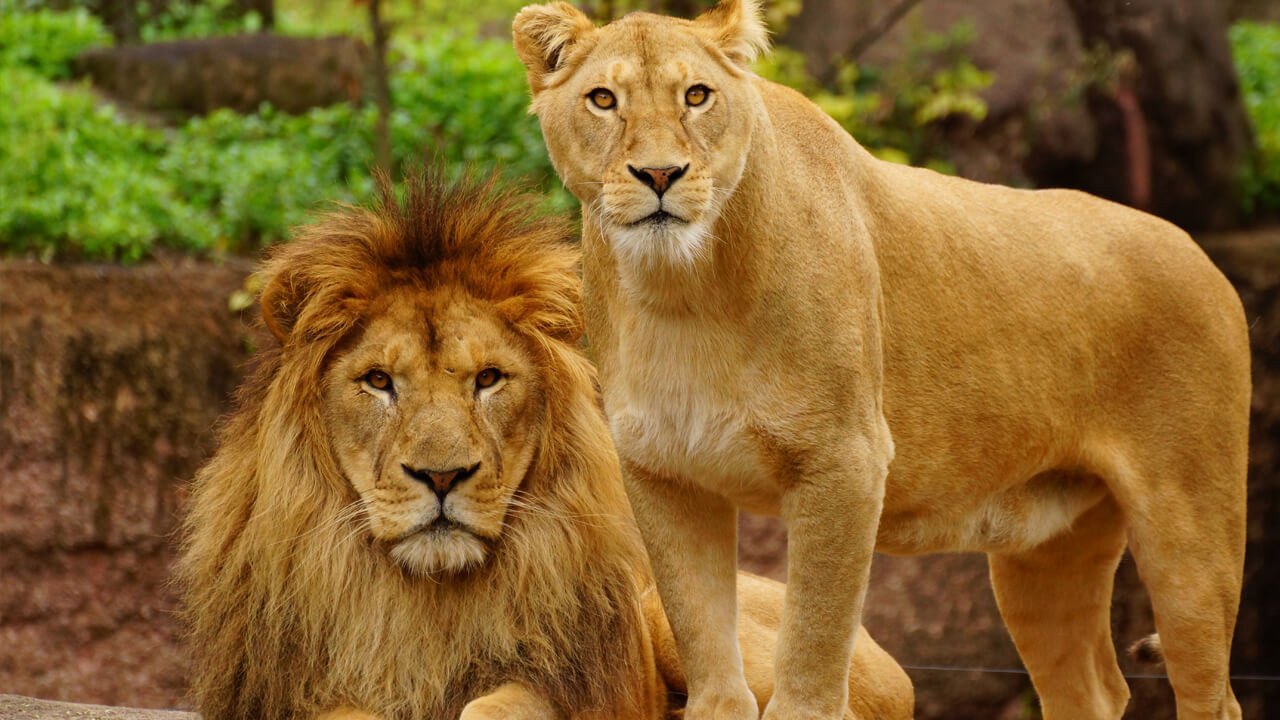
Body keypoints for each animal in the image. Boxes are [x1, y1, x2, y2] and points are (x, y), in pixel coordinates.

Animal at [172, 169, 911, 717]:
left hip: (668, 611)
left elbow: (496, 705)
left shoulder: (575, 684)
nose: (442, 477)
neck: (422, 602)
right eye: (378, 381)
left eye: (488, 379)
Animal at [512, 1, 1249, 717]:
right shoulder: (664, 472)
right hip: (1044, 551)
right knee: (1091, 688)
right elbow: (706, 650)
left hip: (1190, 535)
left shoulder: (845, 460)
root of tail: (1201, 252)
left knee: (1212, 694)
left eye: (697, 95)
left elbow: (812, 650)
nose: (661, 174)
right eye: (603, 99)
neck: (679, 292)